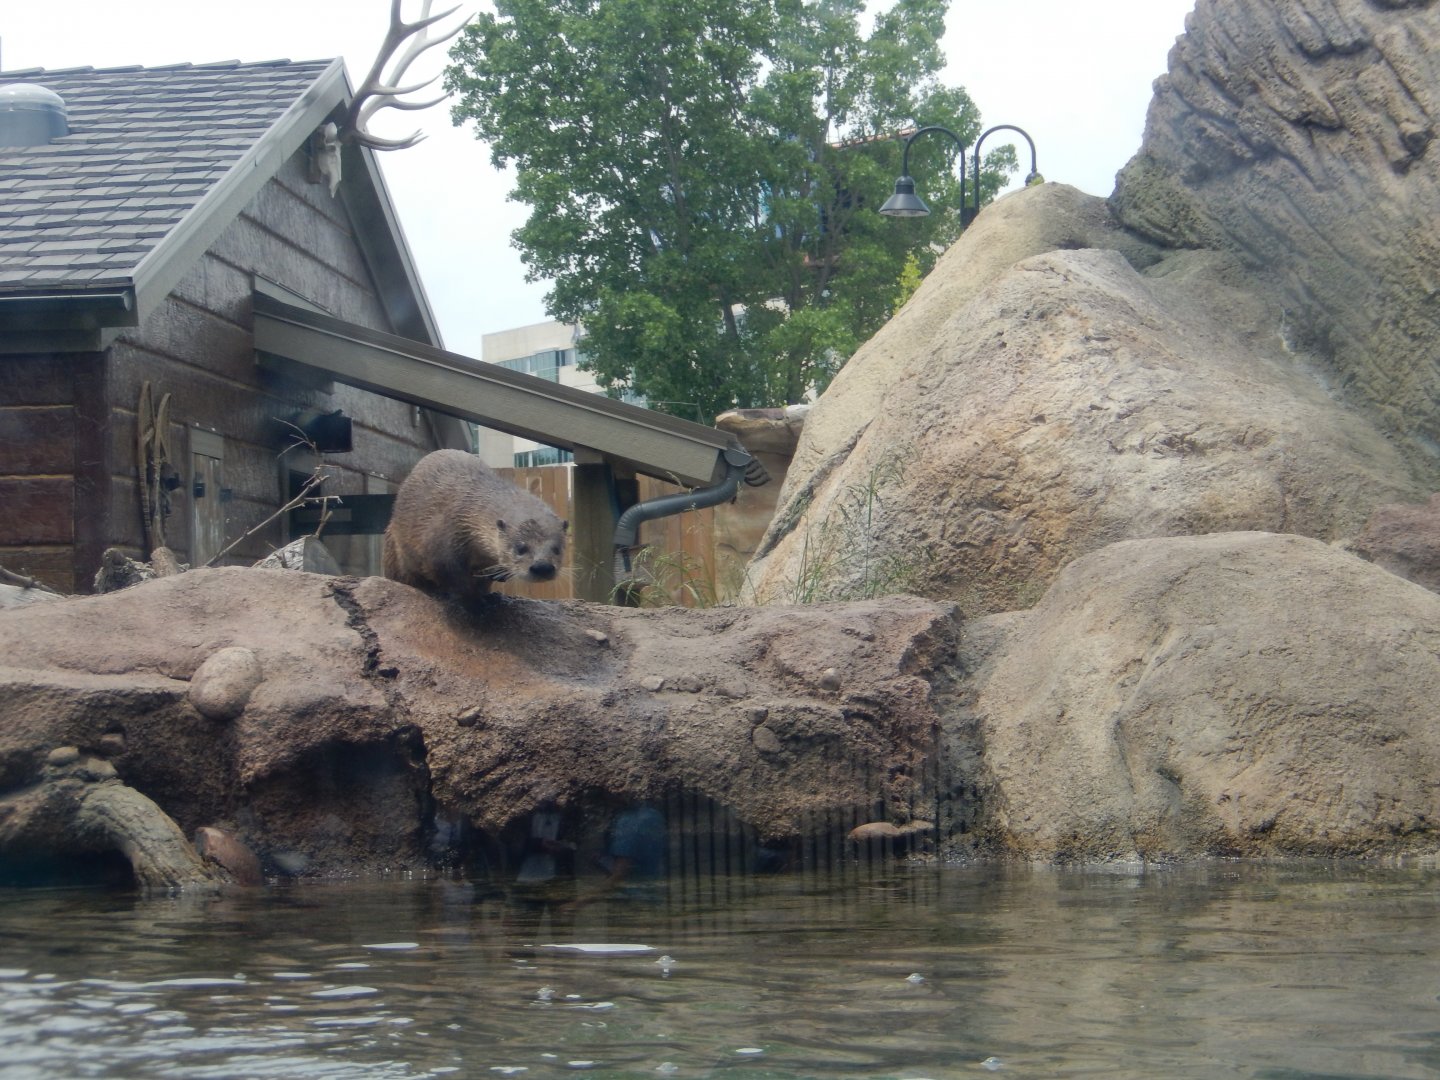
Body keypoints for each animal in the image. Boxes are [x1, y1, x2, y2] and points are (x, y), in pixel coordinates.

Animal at [382, 450, 568, 604]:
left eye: (557, 549)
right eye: (520, 548)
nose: (542, 567)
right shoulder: (439, 547)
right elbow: (451, 578)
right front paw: (469, 598)